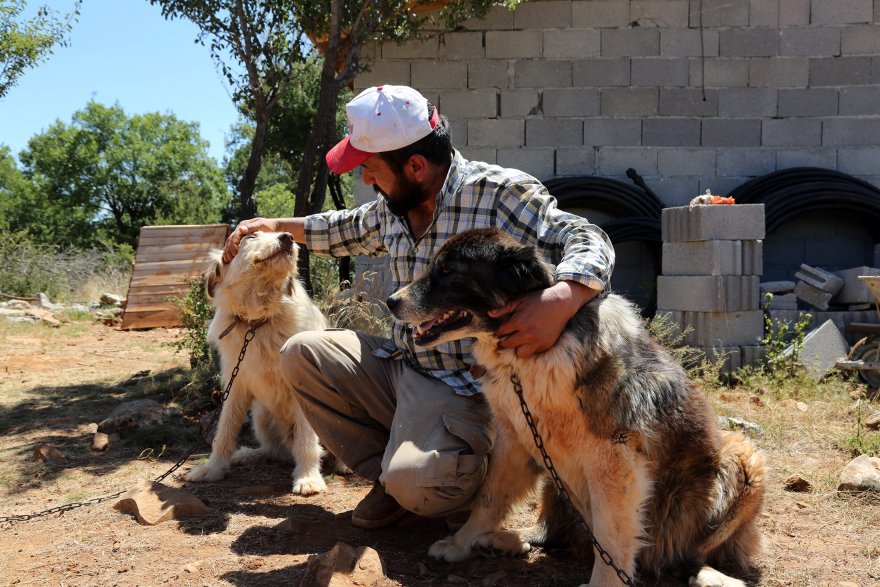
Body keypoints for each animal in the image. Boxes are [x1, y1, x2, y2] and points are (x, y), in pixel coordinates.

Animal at [384, 229, 764, 587]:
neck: (528, 355)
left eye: (449, 272)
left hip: (743, 456)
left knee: (693, 554)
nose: (390, 301)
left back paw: (709, 574)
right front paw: (460, 544)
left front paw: (605, 583)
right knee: (553, 534)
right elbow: (488, 499)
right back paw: (507, 540)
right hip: (556, 480)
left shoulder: (614, 459)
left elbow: (611, 535)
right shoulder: (515, 439)